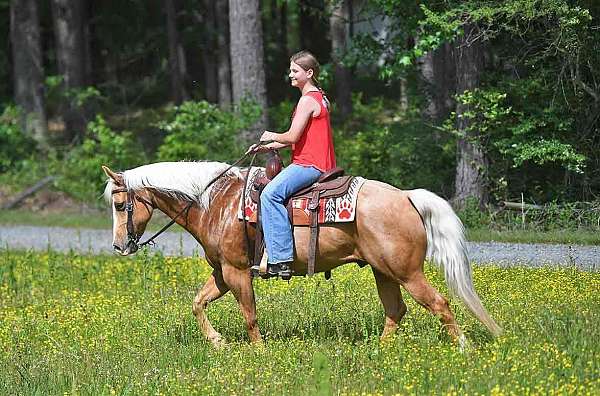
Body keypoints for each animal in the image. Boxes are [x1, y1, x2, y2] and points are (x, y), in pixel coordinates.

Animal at [103, 161, 502, 346]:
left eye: (121, 204)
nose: (120, 246)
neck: (215, 201)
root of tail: (405, 196)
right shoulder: (222, 272)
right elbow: (198, 303)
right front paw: (217, 342)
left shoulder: (236, 271)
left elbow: (249, 314)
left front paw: (259, 353)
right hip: (383, 271)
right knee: (396, 310)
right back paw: (379, 352)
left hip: (406, 272)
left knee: (439, 304)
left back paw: (464, 349)